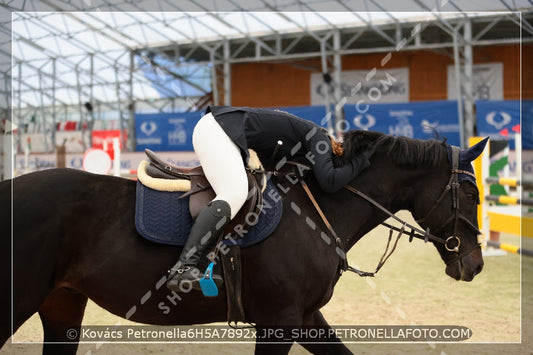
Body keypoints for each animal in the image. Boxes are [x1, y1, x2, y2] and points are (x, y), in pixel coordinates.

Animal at [1, 131, 486, 355]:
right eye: (472, 193)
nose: (476, 265)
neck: (318, 210)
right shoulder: (278, 320)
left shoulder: (304, 318)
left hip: (62, 304)